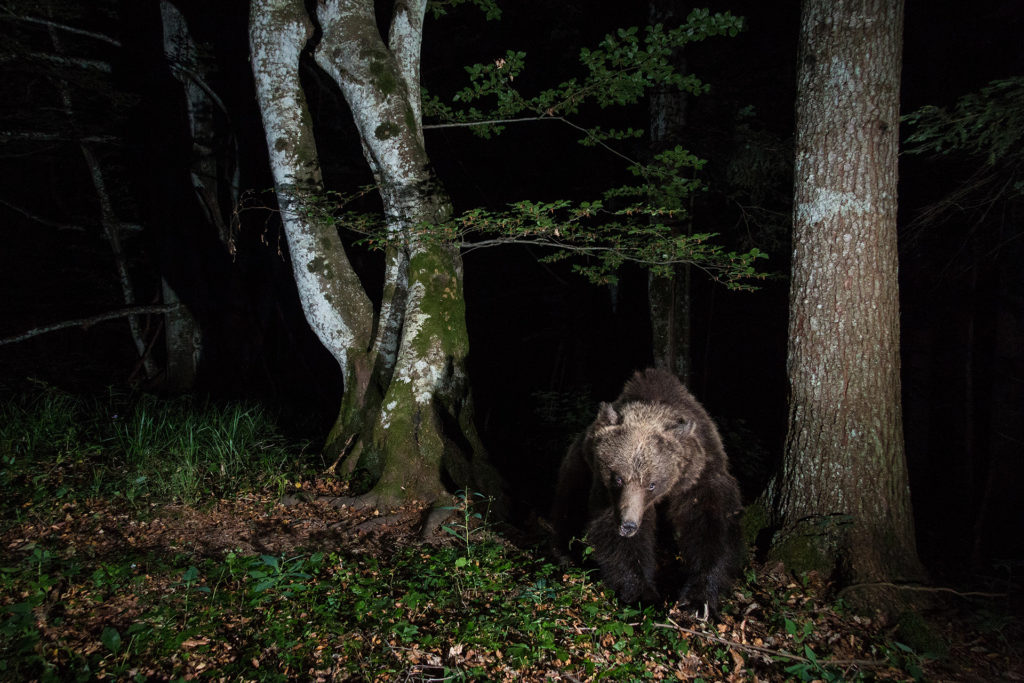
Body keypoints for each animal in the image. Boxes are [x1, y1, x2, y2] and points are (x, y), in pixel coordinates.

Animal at [551, 368, 743, 619]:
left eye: (652, 484)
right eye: (618, 477)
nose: (628, 525)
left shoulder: (699, 476)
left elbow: (713, 529)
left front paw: (698, 600)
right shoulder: (605, 490)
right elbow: (613, 538)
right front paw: (644, 595)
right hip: (578, 466)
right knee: (568, 506)